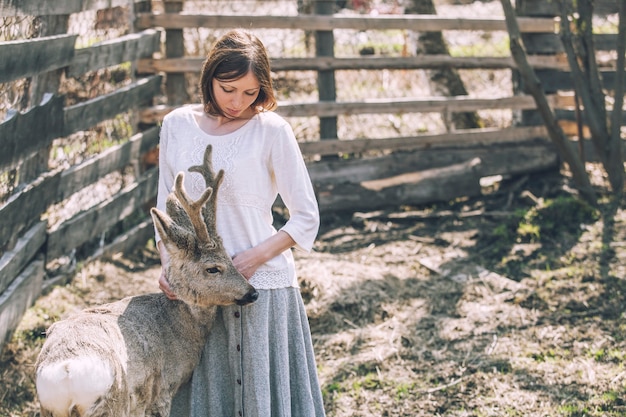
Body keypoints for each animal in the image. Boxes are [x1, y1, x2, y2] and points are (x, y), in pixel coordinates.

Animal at [34, 144, 256, 416]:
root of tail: (65, 370)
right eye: (213, 268)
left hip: (50, 407)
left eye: (230, 258)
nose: (252, 292)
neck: (181, 327)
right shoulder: (161, 390)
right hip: (114, 401)